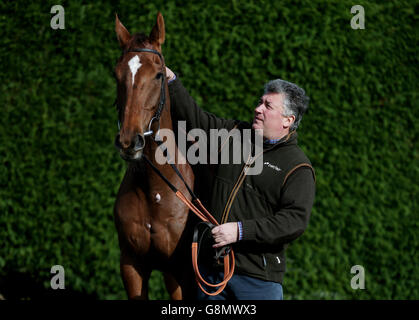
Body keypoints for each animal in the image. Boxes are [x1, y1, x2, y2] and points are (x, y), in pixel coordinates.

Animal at [112, 11, 196, 298]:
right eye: (116, 75)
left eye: (159, 75)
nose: (129, 140)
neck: (155, 188)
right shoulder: (131, 266)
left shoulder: (177, 272)